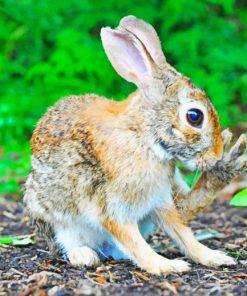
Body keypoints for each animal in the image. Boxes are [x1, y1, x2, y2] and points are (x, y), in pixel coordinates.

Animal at [23, 16, 247, 276]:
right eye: (194, 116)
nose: (215, 155)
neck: (144, 136)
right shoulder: (113, 207)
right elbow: (135, 243)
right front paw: (166, 265)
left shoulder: (160, 200)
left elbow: (183, 234)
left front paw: (213, 257)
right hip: (56, 219)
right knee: (70, 244)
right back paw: (85, 255)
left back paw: (226, 169)